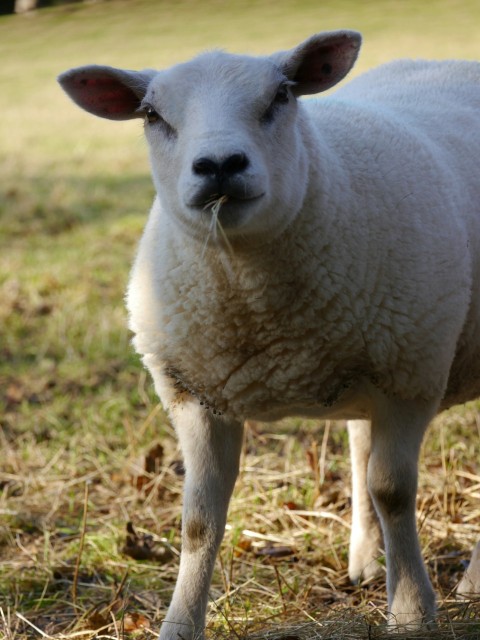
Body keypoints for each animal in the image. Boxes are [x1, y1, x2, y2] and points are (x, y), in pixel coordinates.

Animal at [58, 30, 480, 639]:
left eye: (281, 96)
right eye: (152, 114)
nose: (219, 165)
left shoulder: (411, 377)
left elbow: (393, 492)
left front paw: (409, 611)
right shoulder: (193, 395)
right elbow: (198, 520)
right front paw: (179, 623)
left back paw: (466, 584)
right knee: (359, 445)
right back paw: (365, 560)